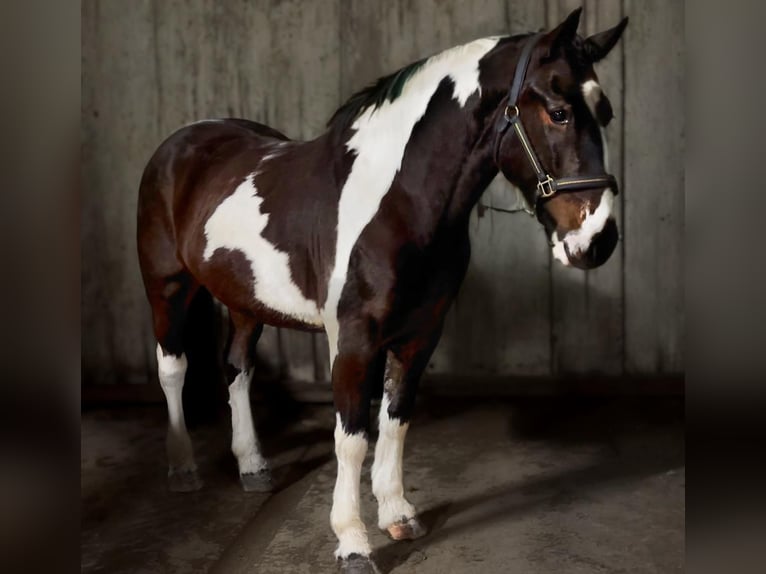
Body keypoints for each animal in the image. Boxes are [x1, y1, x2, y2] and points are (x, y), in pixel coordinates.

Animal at [137, 8, 627, 573]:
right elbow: (351, 438)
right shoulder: (353, 341)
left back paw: (253, 466)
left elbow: (395, 420)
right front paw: (352, 542)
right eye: (559, 112)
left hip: (244, 301)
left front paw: (398, 515)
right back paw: (182, 470)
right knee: (173, 369)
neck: (398, 201)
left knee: (237, 369)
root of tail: (183, 139)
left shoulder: (420, 335)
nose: (598, 240)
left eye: (606, 113)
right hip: (167, 288)